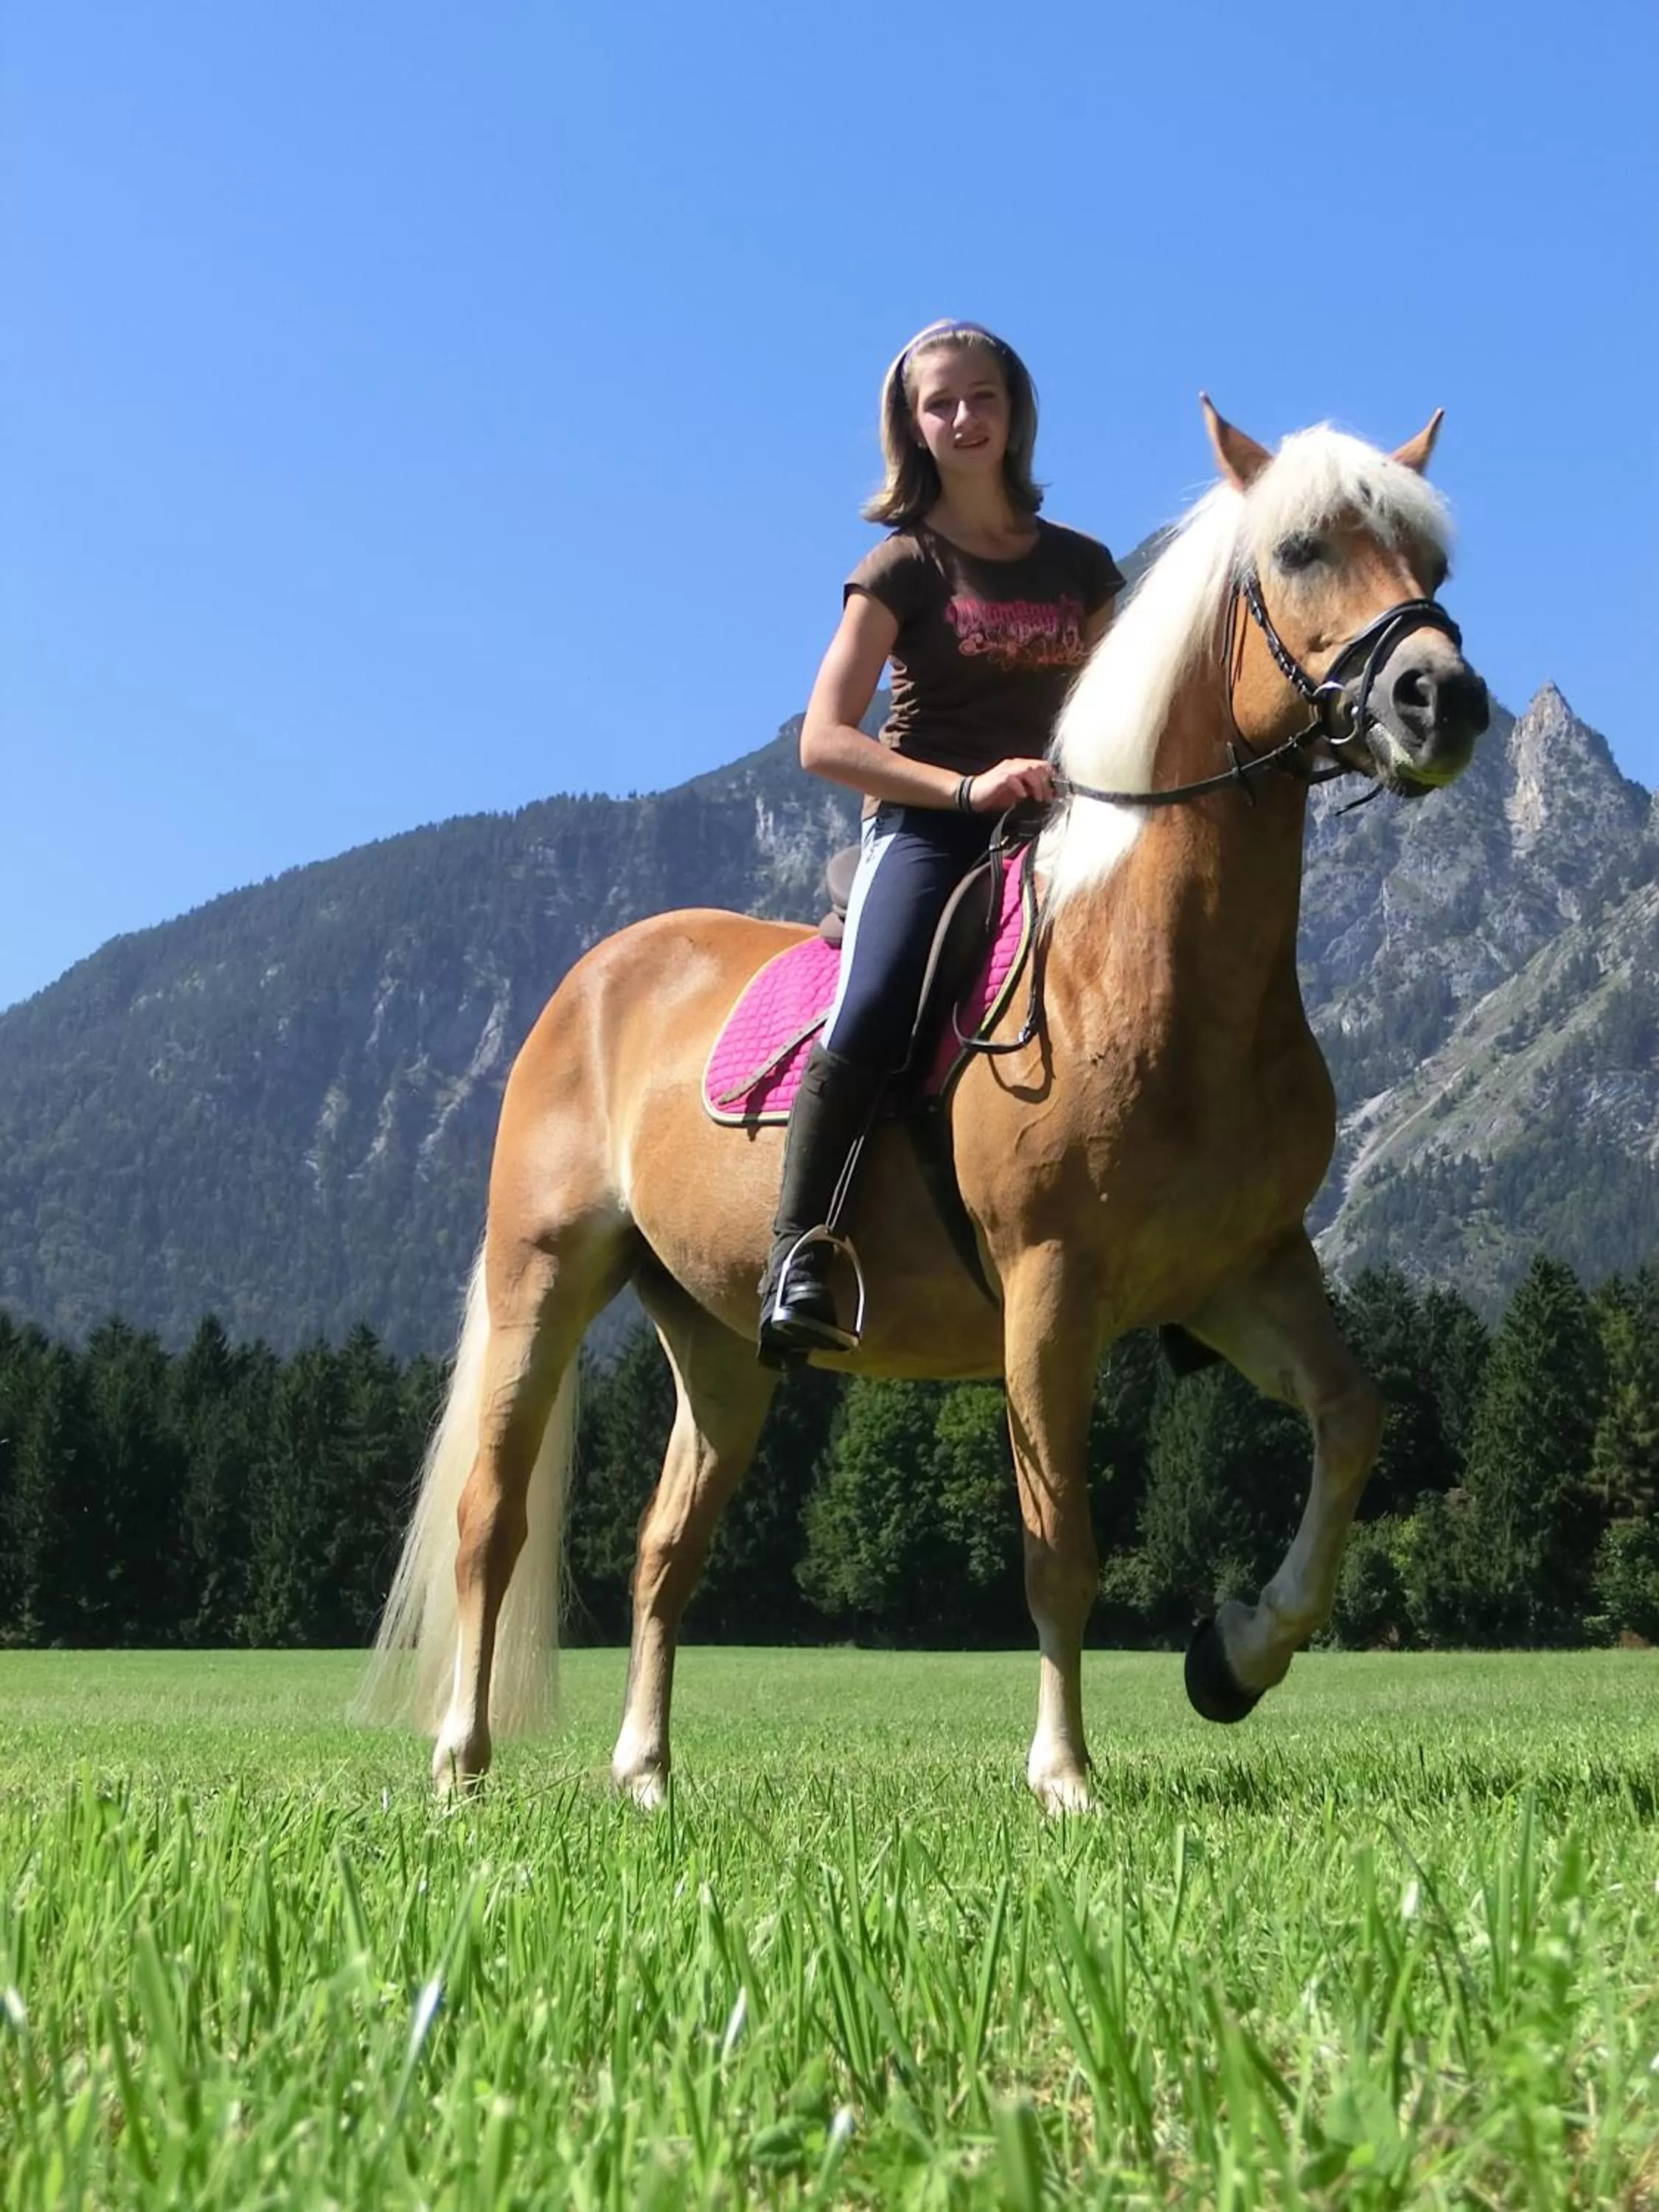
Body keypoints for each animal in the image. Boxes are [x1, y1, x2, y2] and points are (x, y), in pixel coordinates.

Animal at [358, 397, 1489, 1812]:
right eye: (1297, 550)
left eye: (1433, 564)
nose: (1440, 696)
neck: (1145, 965)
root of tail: (597, 975)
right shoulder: (1050, 1292)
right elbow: (1059, 1541)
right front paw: (1065, 1775)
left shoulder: (1244, 1273)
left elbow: (1352, 1423)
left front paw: (1233, 1657)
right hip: (542, 1277)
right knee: (490, 1523)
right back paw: (461, 1764)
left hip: (718, 1343)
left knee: (665, 1547)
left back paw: (647, 1776)